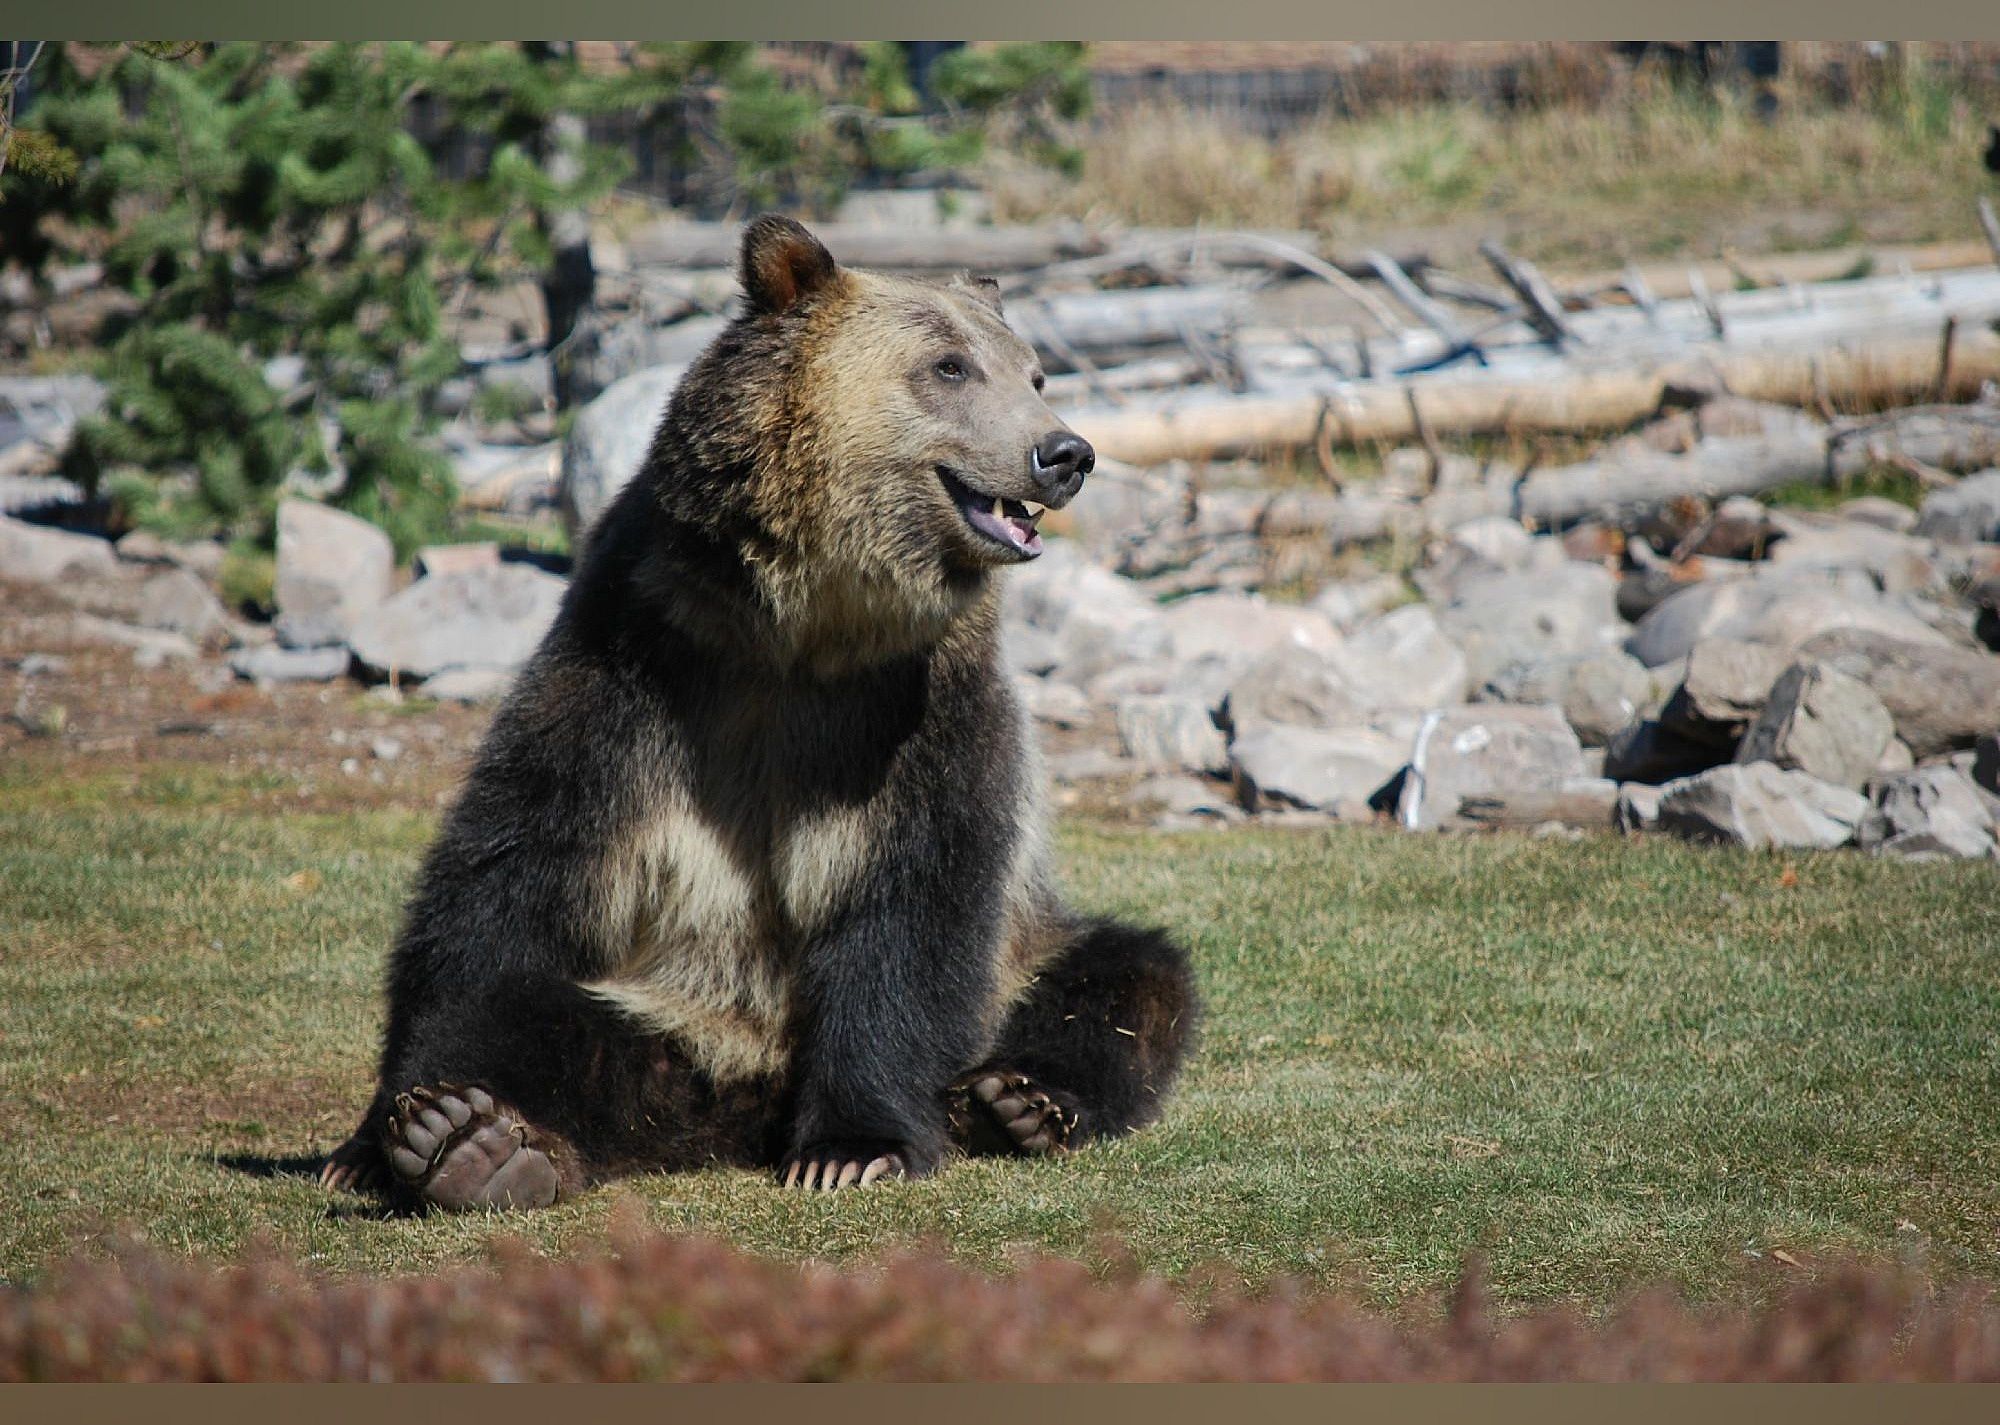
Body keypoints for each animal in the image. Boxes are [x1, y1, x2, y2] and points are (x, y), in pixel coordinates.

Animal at [318, 214, 1198, 1209]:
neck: (803, 622)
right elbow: (507, 881)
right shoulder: (641, 655)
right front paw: (378, 1133)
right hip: (672, 1012)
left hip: (1026, 947)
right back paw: (476, 1138)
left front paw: (853, 1145)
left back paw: (1020, 1100)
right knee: (540, 1017)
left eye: (1034, 371)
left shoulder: (916, 704)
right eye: (951, 366)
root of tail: (748, 1094)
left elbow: (914, 901)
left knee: (1128, 976)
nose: (1066, 452)